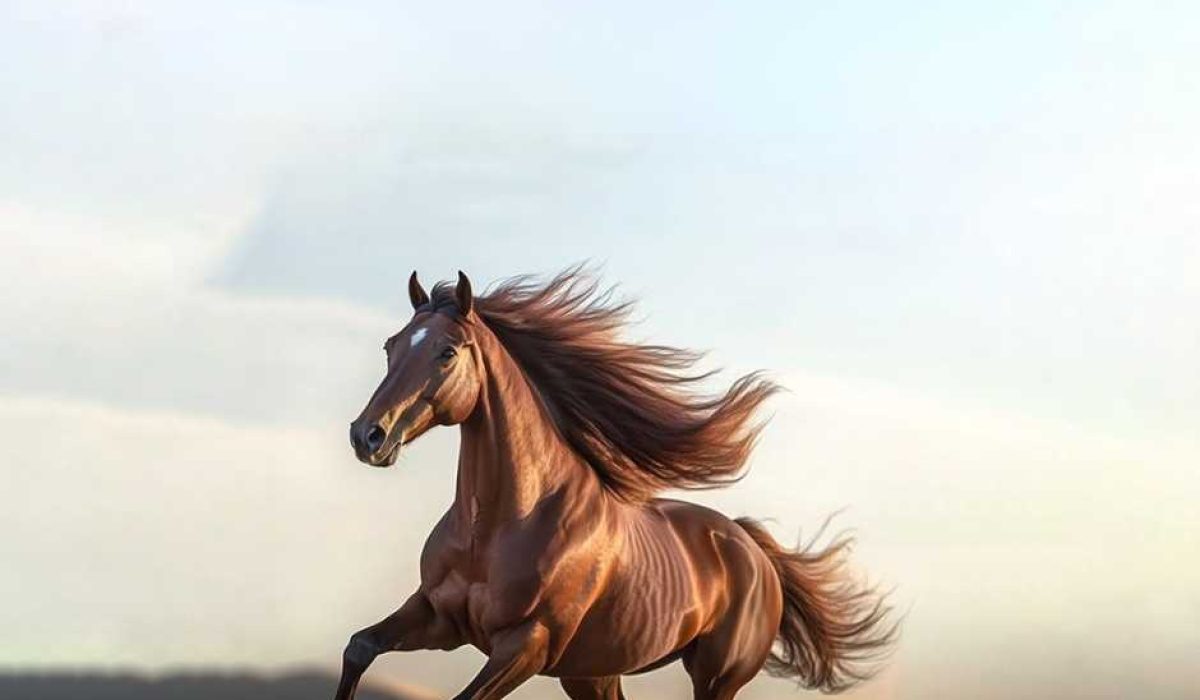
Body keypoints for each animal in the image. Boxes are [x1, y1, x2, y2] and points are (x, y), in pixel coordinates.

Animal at [336, 268, 894, 700]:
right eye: (389, 346)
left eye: (447, 352)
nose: (368, 435)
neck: (499, 525)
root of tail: (754, 551)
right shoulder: (437, 615)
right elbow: (359, 647)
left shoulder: (526, 644)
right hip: (593, 673)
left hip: (715, 678)